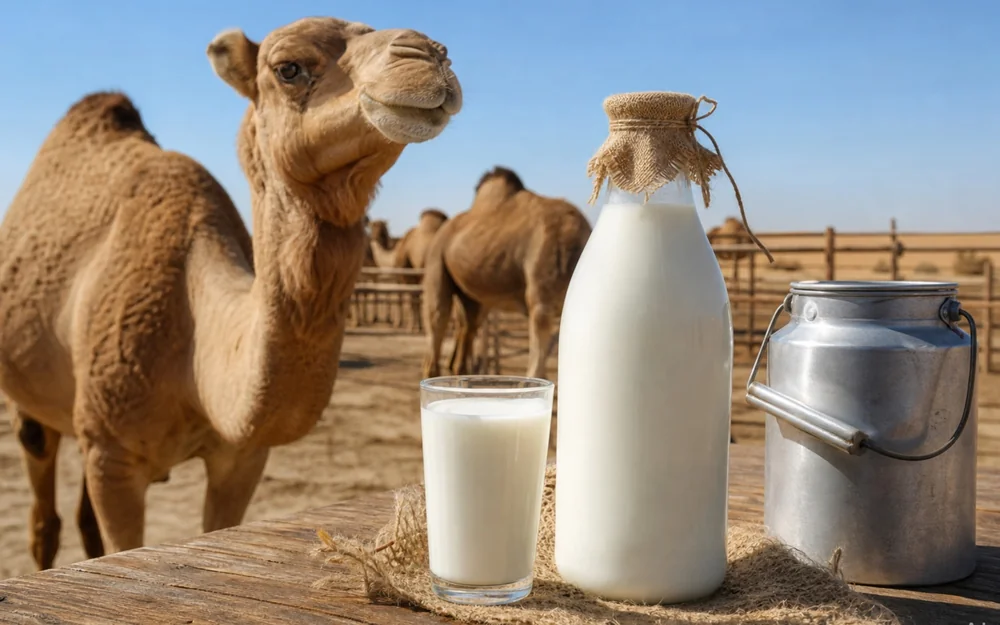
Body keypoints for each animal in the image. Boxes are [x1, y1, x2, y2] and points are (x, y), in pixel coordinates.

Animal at [0, 16, 461, 569]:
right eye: (288, 68)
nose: (430, 56)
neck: (193, 352)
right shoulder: (113, 458)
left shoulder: (241, 457)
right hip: (35, 403)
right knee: (42, 502)